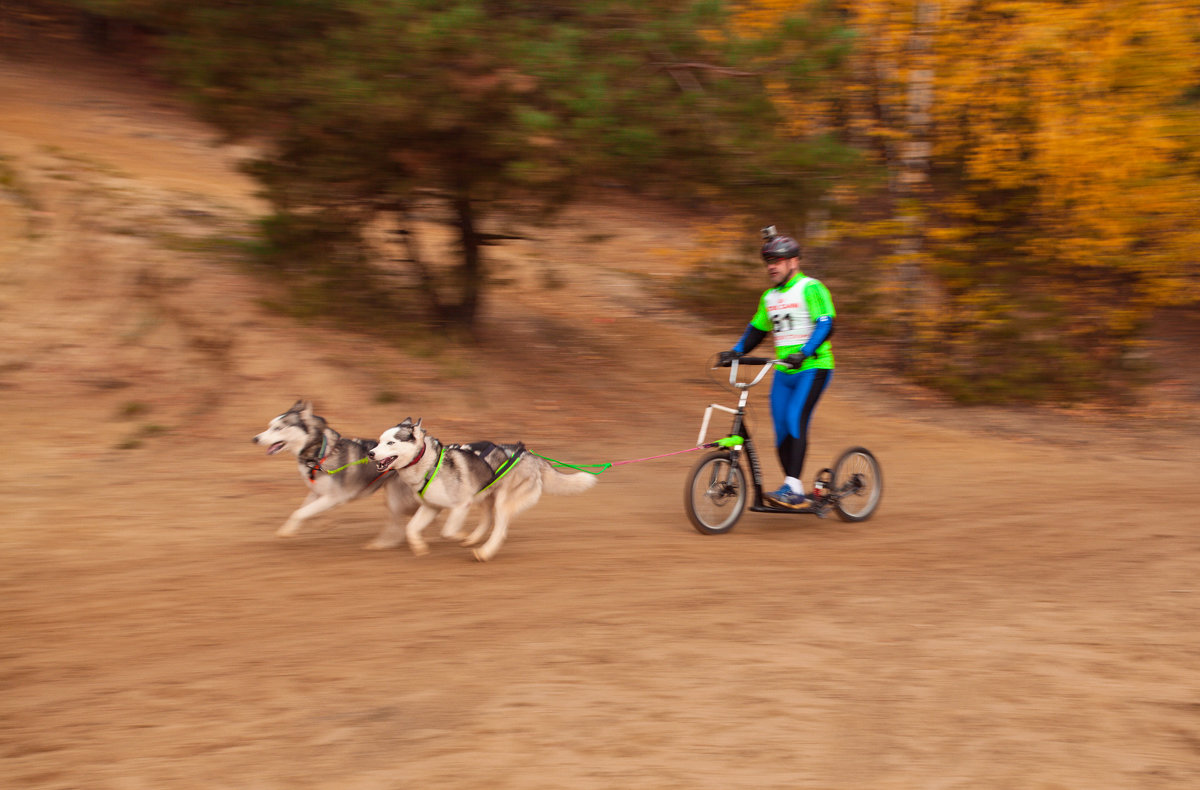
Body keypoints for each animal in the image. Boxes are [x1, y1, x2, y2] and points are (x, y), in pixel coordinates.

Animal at [250, 396, 424, 545]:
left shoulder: (333, 497)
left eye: (278, 428)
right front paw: (294, 528)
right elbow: (302, 511)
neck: (319, 455)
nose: (255, 439)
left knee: (399, 521)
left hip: (396, 497)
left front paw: (288, 531)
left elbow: (299, 513)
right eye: (270, 426)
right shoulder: (316, 492)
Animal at [367, 417, 597, 559]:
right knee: (487, 520)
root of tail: (529, 455)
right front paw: (419, 547)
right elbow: (411, 528)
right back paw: (472, 539)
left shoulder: (461, 505)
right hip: (486, 496)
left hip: (502, 501)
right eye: (378, 442)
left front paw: (458, 535)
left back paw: (484, 552)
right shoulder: (432, 507)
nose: (370, 453)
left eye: (390, 443)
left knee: (500, 530)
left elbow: (448, 531)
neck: (428, 464)